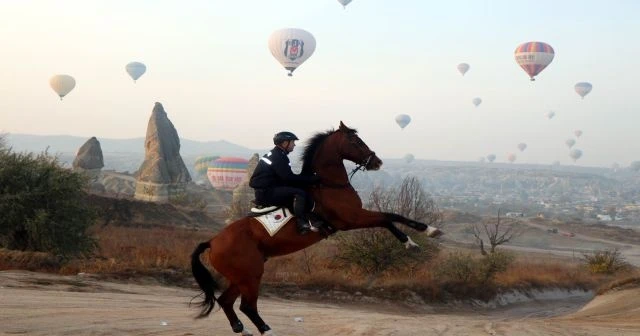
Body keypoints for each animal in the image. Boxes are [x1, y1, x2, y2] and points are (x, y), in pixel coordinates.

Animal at [190, 121, 440, 336]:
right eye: (355, 141)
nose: (376, 162)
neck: (329, 184)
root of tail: (212, 242)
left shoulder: (354, 218)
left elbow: (390, 217)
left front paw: (424, 232)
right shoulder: (352, 219)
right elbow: (388, 218)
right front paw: (418, 237)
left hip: (242, 276)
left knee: (226, 301)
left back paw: (243, 330)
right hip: (251, 275)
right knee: (247, 306)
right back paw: (267, 331)